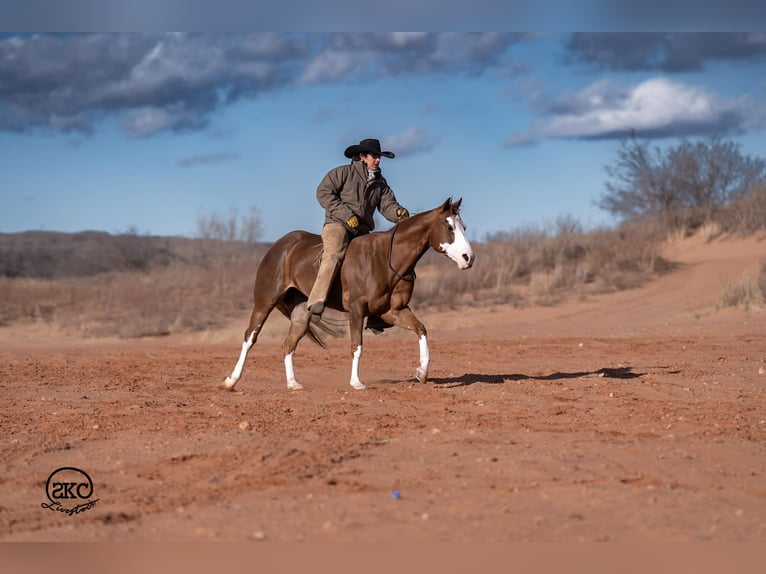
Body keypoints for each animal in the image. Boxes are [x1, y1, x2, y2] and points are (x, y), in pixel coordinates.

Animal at [222, 197, 474, 391]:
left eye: (464, 227)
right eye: (449, 227)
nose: (468, 258)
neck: (385, 258)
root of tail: (280, 247)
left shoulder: (394, 311)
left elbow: (421, 329)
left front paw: (422, 372)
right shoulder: (356, 309)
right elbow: (356, 345)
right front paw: (356, 382)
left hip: (301, 313)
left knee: (288, 344)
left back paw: (293, 384)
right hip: (264, 302)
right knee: (249, 337)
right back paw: (231, 381)